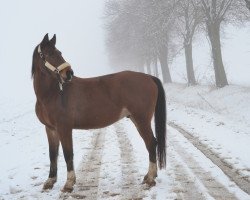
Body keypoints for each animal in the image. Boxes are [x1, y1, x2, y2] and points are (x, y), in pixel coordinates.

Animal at [31, 33, 166, 193]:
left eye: (59, 53)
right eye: (50, 54)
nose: (69, 73)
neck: (53, 94)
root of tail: (149, 77)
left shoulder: (64, 128)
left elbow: (68, 153)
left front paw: (69, 183)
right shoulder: (50, 129)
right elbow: (53, 155)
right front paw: (50, 181)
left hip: (142, 120)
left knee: (151, 143)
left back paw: (150, 178)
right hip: (137, 119)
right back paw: (149, 176)